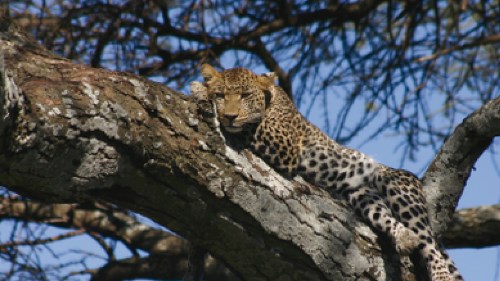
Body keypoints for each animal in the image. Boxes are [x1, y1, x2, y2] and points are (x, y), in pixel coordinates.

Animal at [190, 64, 460, 280]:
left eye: (245, 95)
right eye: (221, 95)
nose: (229, 116)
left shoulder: (284, 144)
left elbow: (250, 125)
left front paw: (198, 90)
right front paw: (203, 91)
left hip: (399, 187)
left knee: (430, 245)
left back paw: (440, 273)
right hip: (361, 195)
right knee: (390, 219)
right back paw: (403, 238)